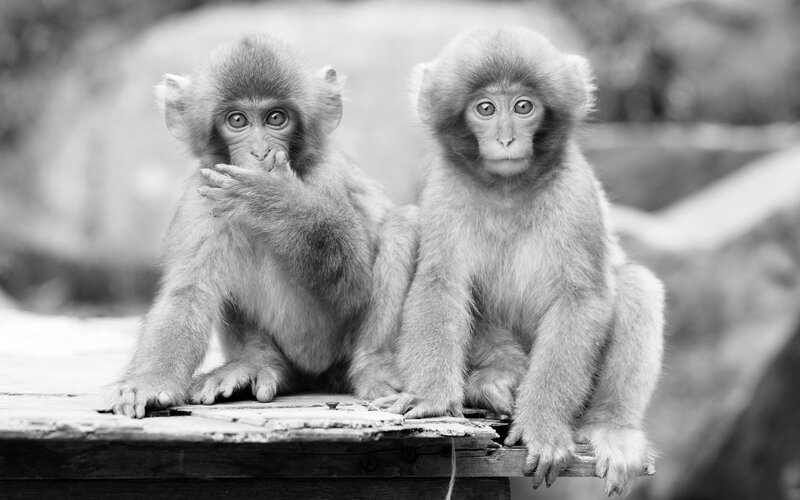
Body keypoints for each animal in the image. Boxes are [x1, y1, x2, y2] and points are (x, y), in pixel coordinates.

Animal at [105, 35, 416, 419]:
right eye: (237, 120)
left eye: (276, 118)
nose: (259, 152)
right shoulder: (201, 197)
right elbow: (190, 291)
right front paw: (150, 381)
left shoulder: (327, 177)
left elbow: (355, 286)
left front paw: (274, 201)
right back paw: (259, 364)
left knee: (401, 226)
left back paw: (372, 367)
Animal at [377, 28, 665, 496]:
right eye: (486, 108)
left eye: (523, 107)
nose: (507, 139)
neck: (507, 188)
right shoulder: (444, 188)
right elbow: (441, 283)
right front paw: (433, 396)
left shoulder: (575, 191)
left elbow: (582, 300)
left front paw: (542, 427)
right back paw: (491, 382)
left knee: (638, 286)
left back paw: (612, 427)